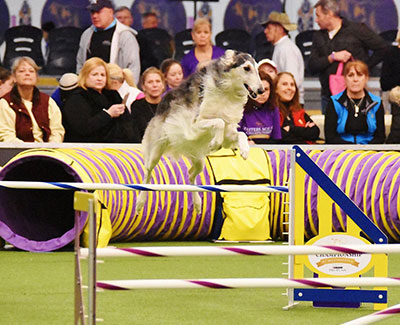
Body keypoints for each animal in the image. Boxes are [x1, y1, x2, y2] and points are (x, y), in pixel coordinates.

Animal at [136, 49, 264, 214]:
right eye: (246, 68)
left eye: (257, 69)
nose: (261, 90)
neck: (226, 91)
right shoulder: (194, 125)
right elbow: (218, 122)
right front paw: (215, 144)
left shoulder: (228, 135)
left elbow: (239, 133)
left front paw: (244, 151)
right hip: (156, 150)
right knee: (147, 174)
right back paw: (140, 202)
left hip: (199, 161)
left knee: (191, 175)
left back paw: (197, 203)